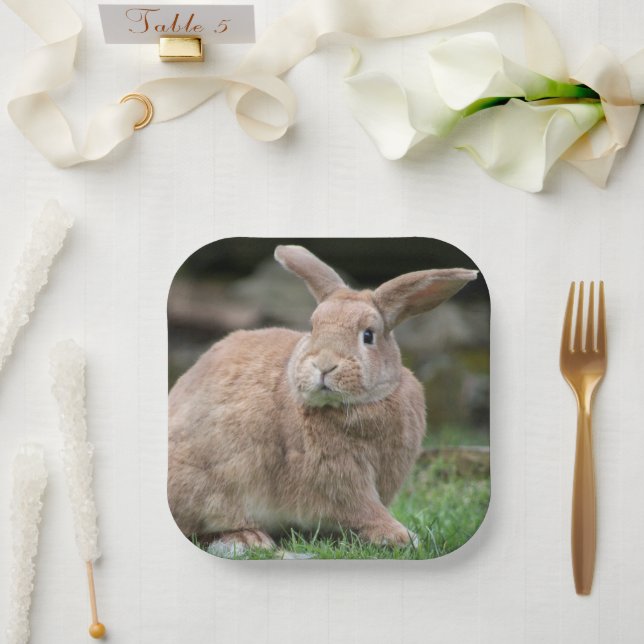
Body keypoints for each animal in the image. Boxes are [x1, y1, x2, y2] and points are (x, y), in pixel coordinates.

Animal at [168, 245, 477, 554]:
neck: (359, 405)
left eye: (368, 335)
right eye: (313, 327)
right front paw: (400, 536)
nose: (324, 365)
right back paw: (249, 538)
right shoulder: (338, 479)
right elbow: (363, 509)